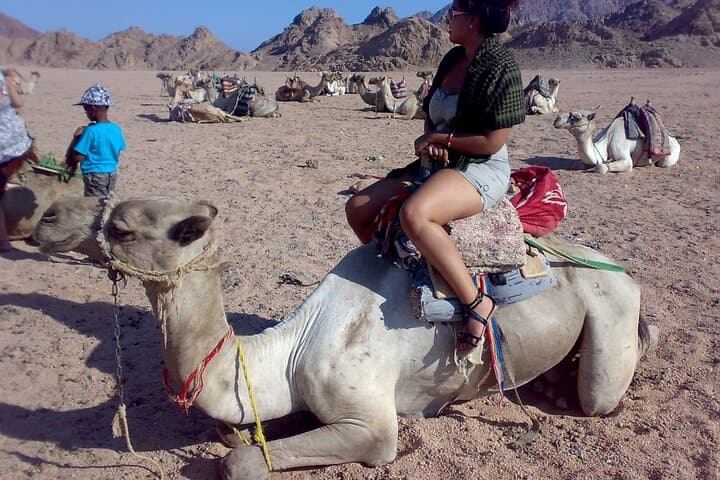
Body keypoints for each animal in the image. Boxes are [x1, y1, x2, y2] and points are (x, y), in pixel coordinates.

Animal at [34, 195, 658, 480]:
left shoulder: (369, 424)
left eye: (121, 227)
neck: (288, 353)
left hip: (611, 311)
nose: (46, 217)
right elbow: (237, 432)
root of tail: (625, 271)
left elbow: (241, 462)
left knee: (601, 393)